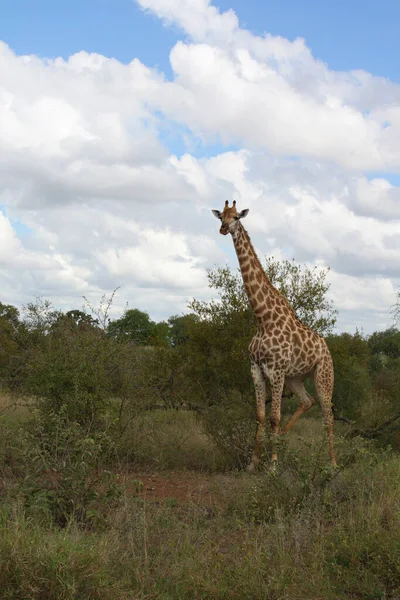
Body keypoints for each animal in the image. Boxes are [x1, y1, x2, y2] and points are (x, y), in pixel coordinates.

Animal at [211, 199, 336, 472]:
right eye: (220, 217)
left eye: (236, 216)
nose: (224, 229)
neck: (262, 319)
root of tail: (326, 348)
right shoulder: (256, 369)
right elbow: (260, 416)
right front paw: (254, 462)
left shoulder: (276, 371)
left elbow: (275, 416)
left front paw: (273, 465)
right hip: (295, 378)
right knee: (307, 402)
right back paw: (284, 441)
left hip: (323, 375)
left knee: (327, 414)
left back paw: (332, 464)